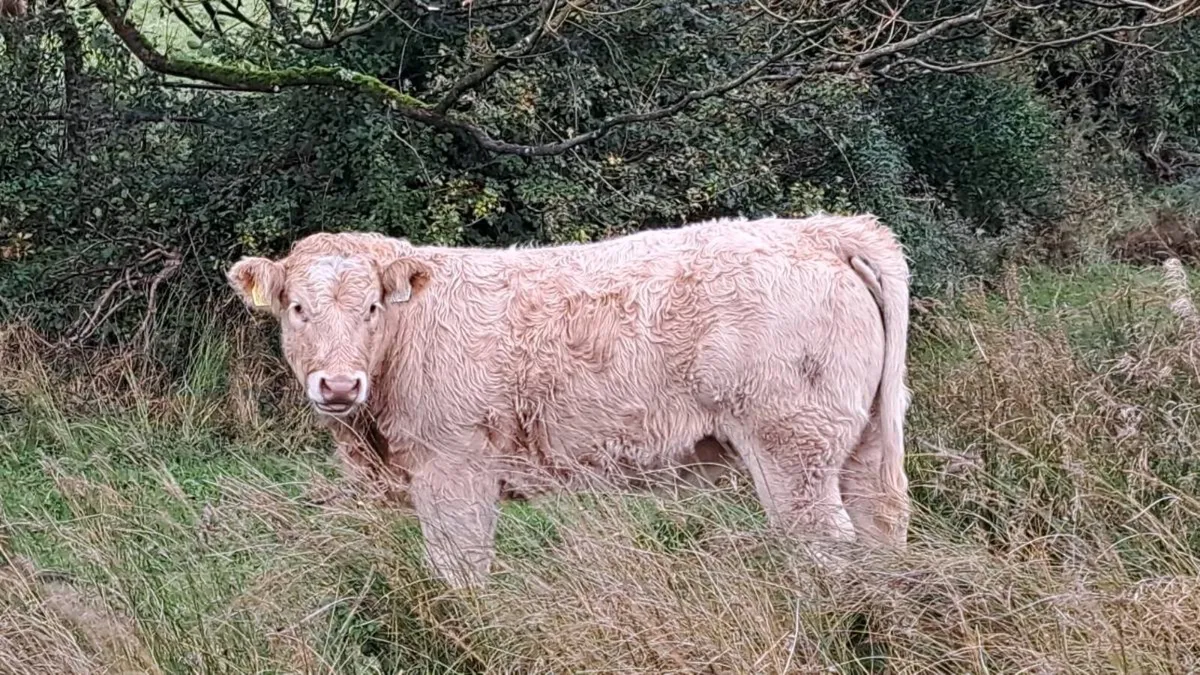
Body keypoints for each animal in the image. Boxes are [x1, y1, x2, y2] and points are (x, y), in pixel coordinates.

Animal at [226, 214, 912, 587]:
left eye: (371, 307)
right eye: (297, 308)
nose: (339, 386)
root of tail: (824, 230)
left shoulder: (453, 466)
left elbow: (458, 568)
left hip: (793, 446)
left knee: (825, 544)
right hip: (861, 443)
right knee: (882, 526)